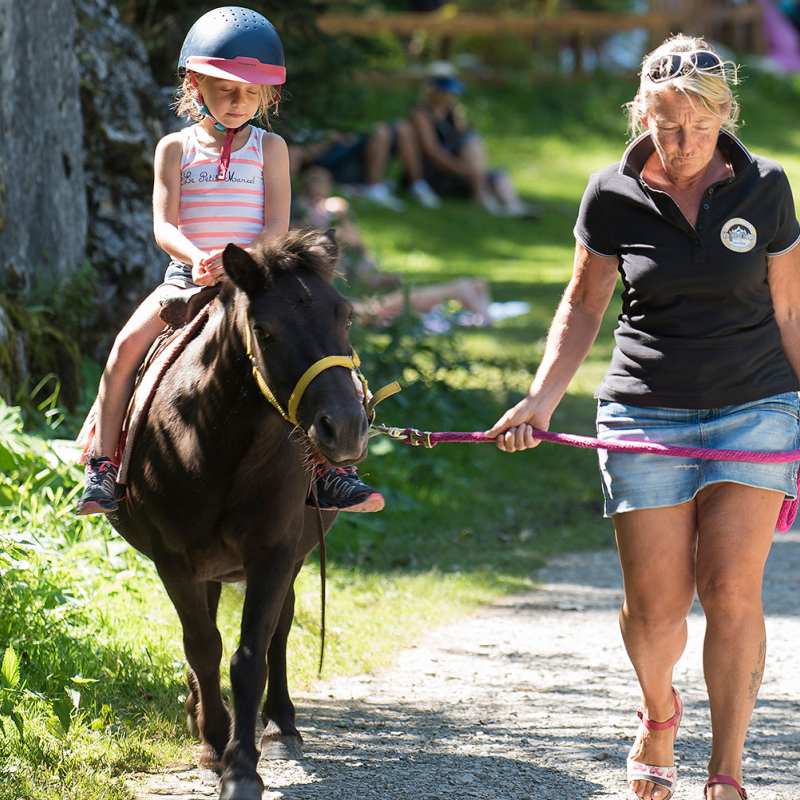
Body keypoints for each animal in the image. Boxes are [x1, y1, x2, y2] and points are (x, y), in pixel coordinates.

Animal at [107, 230, 368, 800]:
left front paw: (242, 765)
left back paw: (283, 725)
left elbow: (250, 654)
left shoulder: (273, 552)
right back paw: (200, 710)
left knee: (279, 632)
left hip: (291, 556)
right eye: (265, 331)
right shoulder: (173, 559)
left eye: (346, 317)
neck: (212, 441)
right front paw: (213, 742)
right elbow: (204, 645)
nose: (345, 428)